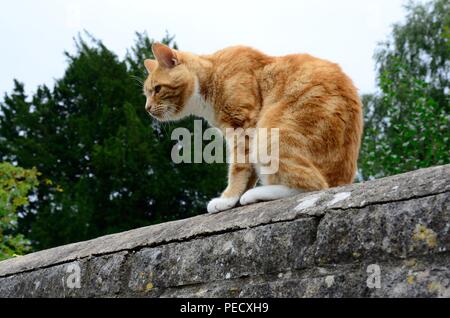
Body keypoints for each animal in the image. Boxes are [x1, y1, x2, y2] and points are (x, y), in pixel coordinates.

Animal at [143, 42, 362, 214]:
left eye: (157, 89)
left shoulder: (242, 124)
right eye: (146, 93)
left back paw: (255, 194)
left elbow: (238, 167)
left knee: (314, 186)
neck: (211, 75)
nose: (147, 108)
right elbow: (248, 171)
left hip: (271, 133)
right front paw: (234, 199)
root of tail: (342, 180)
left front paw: (227, 198)